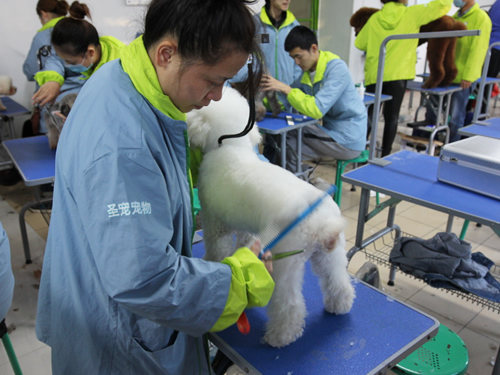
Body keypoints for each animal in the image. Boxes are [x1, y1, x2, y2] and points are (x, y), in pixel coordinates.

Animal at [188, 86, 356, 348]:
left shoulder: (215, 223)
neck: (231, 146)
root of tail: (321, 224)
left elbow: (217, 249)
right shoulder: (246, 227)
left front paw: (214, 262)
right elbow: (244, 242)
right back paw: (339, 305)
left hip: (285, 262)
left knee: (290, 305)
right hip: (330, 254)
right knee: (337, 281)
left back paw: (279, 337)